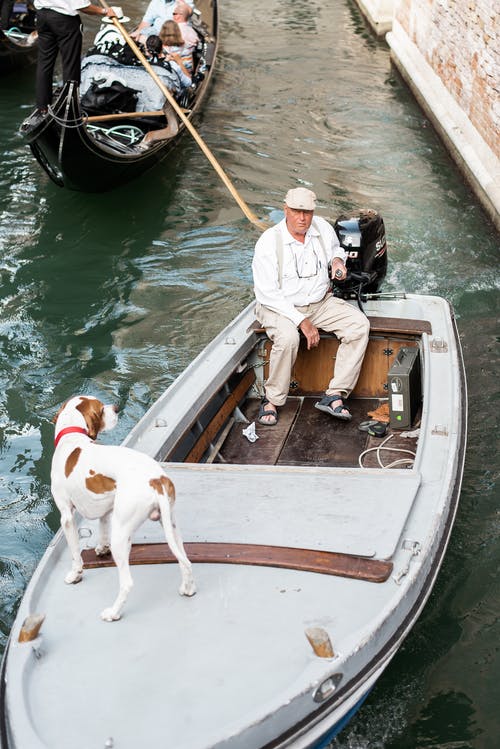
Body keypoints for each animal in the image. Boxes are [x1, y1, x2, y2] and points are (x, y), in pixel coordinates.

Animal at [50, 398, 195, 620]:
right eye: (101, 408)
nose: (117, 408)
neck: (72, 437)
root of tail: (156, 480)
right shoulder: (106, 508)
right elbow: (102, 528)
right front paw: (101, 548)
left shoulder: (66, 516)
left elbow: (75, 554)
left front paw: (75, 574)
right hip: (171, 526)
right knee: (184, 560)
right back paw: (188, 588)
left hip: (120, 536)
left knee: (127, 583)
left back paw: (113, 613)